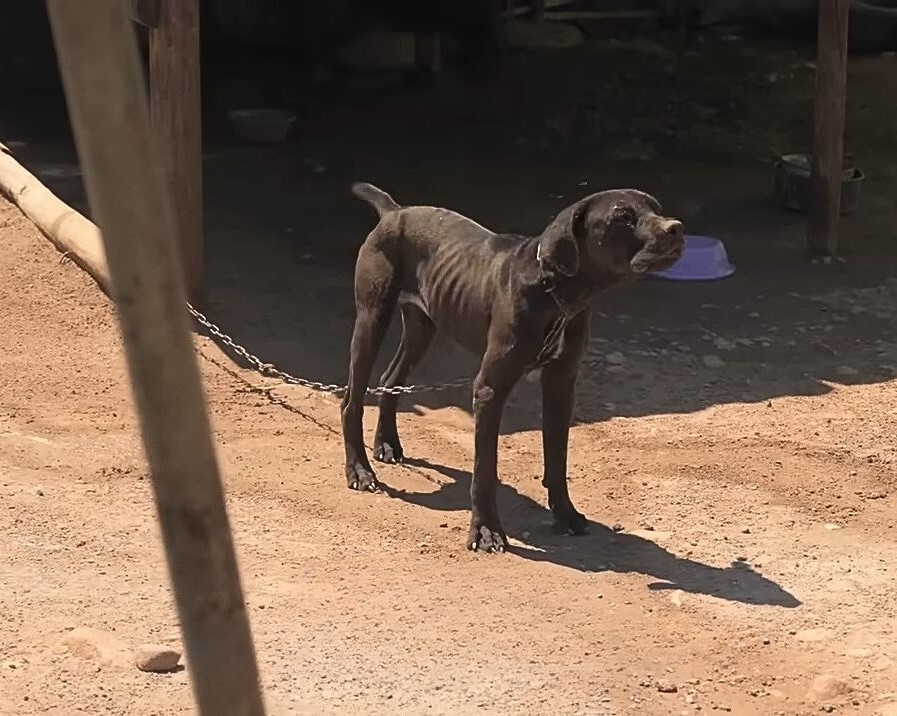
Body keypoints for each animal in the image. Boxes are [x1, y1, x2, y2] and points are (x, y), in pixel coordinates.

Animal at [340, 182, 684, 552]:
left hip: (422, 327)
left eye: (656, 208)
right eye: (622, 216)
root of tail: (395, 211)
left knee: (391, 379)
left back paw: (387, 444)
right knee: (351, 401)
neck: (554, 293)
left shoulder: (561, 384)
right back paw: (359, 471)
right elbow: (485, 470)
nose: (676, 228)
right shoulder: (490, 389)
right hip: (372, 318)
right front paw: (486, 530)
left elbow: (557, 460)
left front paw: (565, 515)